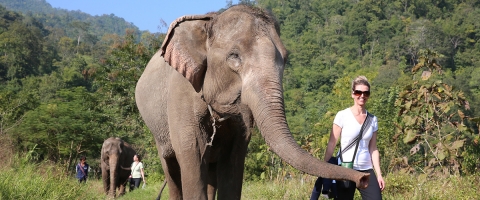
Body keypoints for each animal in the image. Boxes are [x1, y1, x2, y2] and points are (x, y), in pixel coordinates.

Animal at [133, 4, 370, 200]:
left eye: (285, 58)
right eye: (234, 56)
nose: (365, 179)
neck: (209, 21)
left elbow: (234, 157)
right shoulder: (180, 93)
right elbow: (192, 151)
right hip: (157, 130)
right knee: (172, 169)